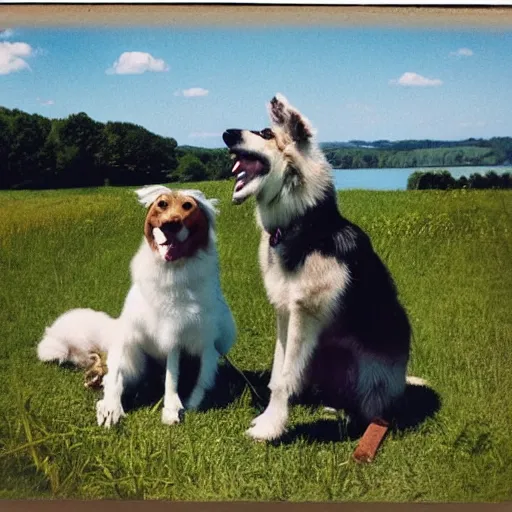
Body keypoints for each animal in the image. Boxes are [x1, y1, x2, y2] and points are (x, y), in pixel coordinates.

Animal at [37, 186, 236, 426]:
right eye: (162, 204)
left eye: (188, 205)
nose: (170, 225)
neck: (170, 272)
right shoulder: (130, 334)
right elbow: (115, 379)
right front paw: (110, 408)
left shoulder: (177, 336)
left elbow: (172, 377)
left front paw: (172, 408)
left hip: (205, 352)